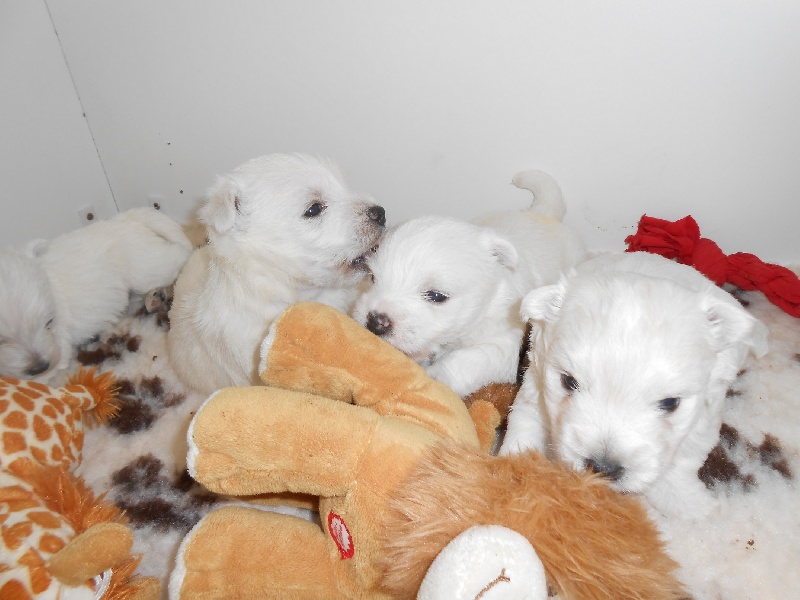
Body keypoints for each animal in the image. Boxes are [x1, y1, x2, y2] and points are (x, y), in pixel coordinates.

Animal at [0, 209, 191, 382]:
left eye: (49, 322)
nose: (41, 367)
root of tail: (124, 219)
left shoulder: (59, 344)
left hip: (147, 270)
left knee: (180, 254)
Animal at [354, 169, 584, 398]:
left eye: (437, 296)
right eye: (373, 278)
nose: (375, 321)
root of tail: (543, 213)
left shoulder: (500, 347)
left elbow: (467, 360)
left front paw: (434, 376)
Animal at [500, 251, 768, 516]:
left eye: (670, 403)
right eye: (568, 381)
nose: (602, 467)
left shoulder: (705, 413)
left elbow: (683, 459)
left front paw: (691, 505)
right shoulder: (536, 385)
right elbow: (525, 426)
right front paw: (516, 471)